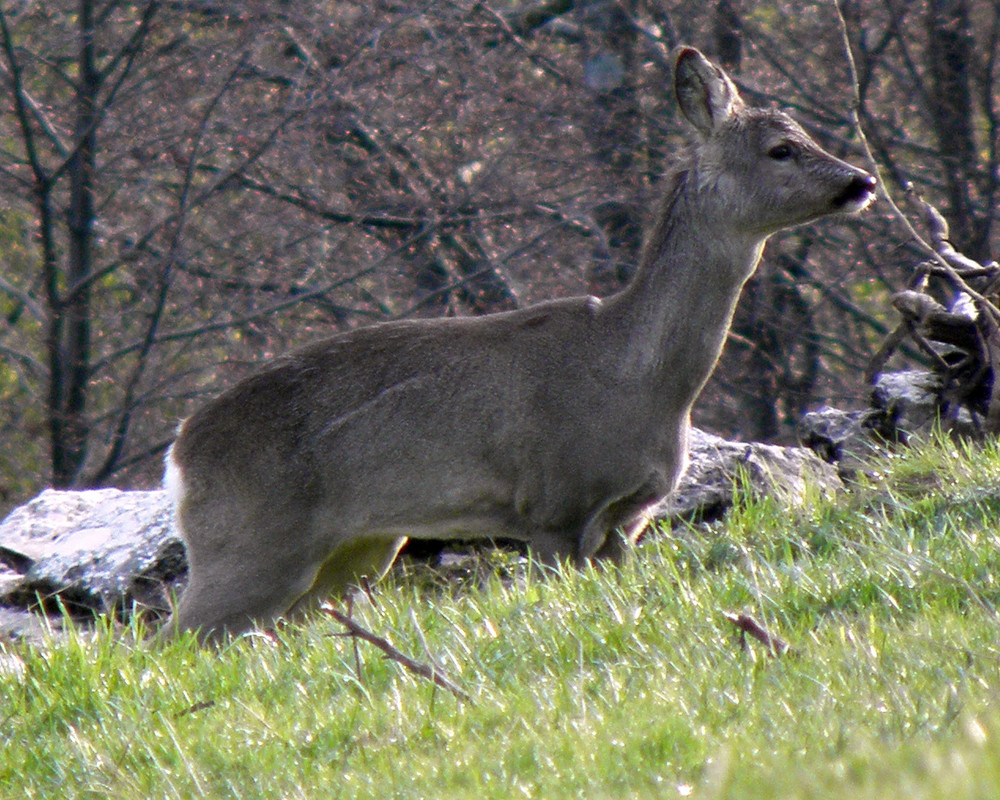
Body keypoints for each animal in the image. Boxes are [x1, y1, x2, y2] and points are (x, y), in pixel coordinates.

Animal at [162, 47, 876, 640]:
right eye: (781, 148)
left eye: (806, 136)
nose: (862, 181)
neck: (635, 375)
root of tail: (181, 449)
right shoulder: (553, 505)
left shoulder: (629, 519)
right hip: (250, 543)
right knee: (170, 640)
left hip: (356, 549)